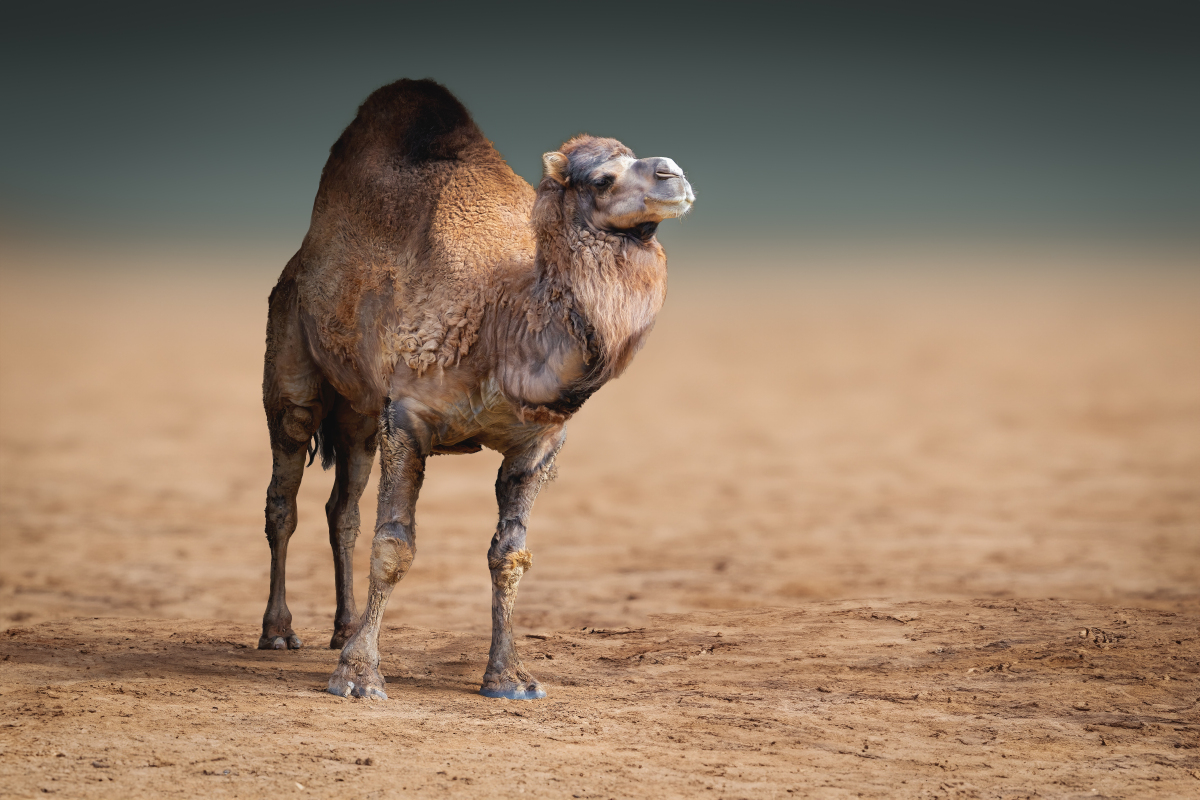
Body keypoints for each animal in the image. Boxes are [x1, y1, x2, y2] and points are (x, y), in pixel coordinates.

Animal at [260, 77, 696, 695]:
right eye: (602, 178)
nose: (673, 173)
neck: (502, 317)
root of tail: (297, 263)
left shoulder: (539, 441)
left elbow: (509, 555)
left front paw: (510, 677)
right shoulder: (408, 416)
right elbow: (393, 545)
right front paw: (359, 676)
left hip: (360, 412)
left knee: (342, 508)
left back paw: (342, 627)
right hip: (291, 353)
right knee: (284, 493)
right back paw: (280, 632)